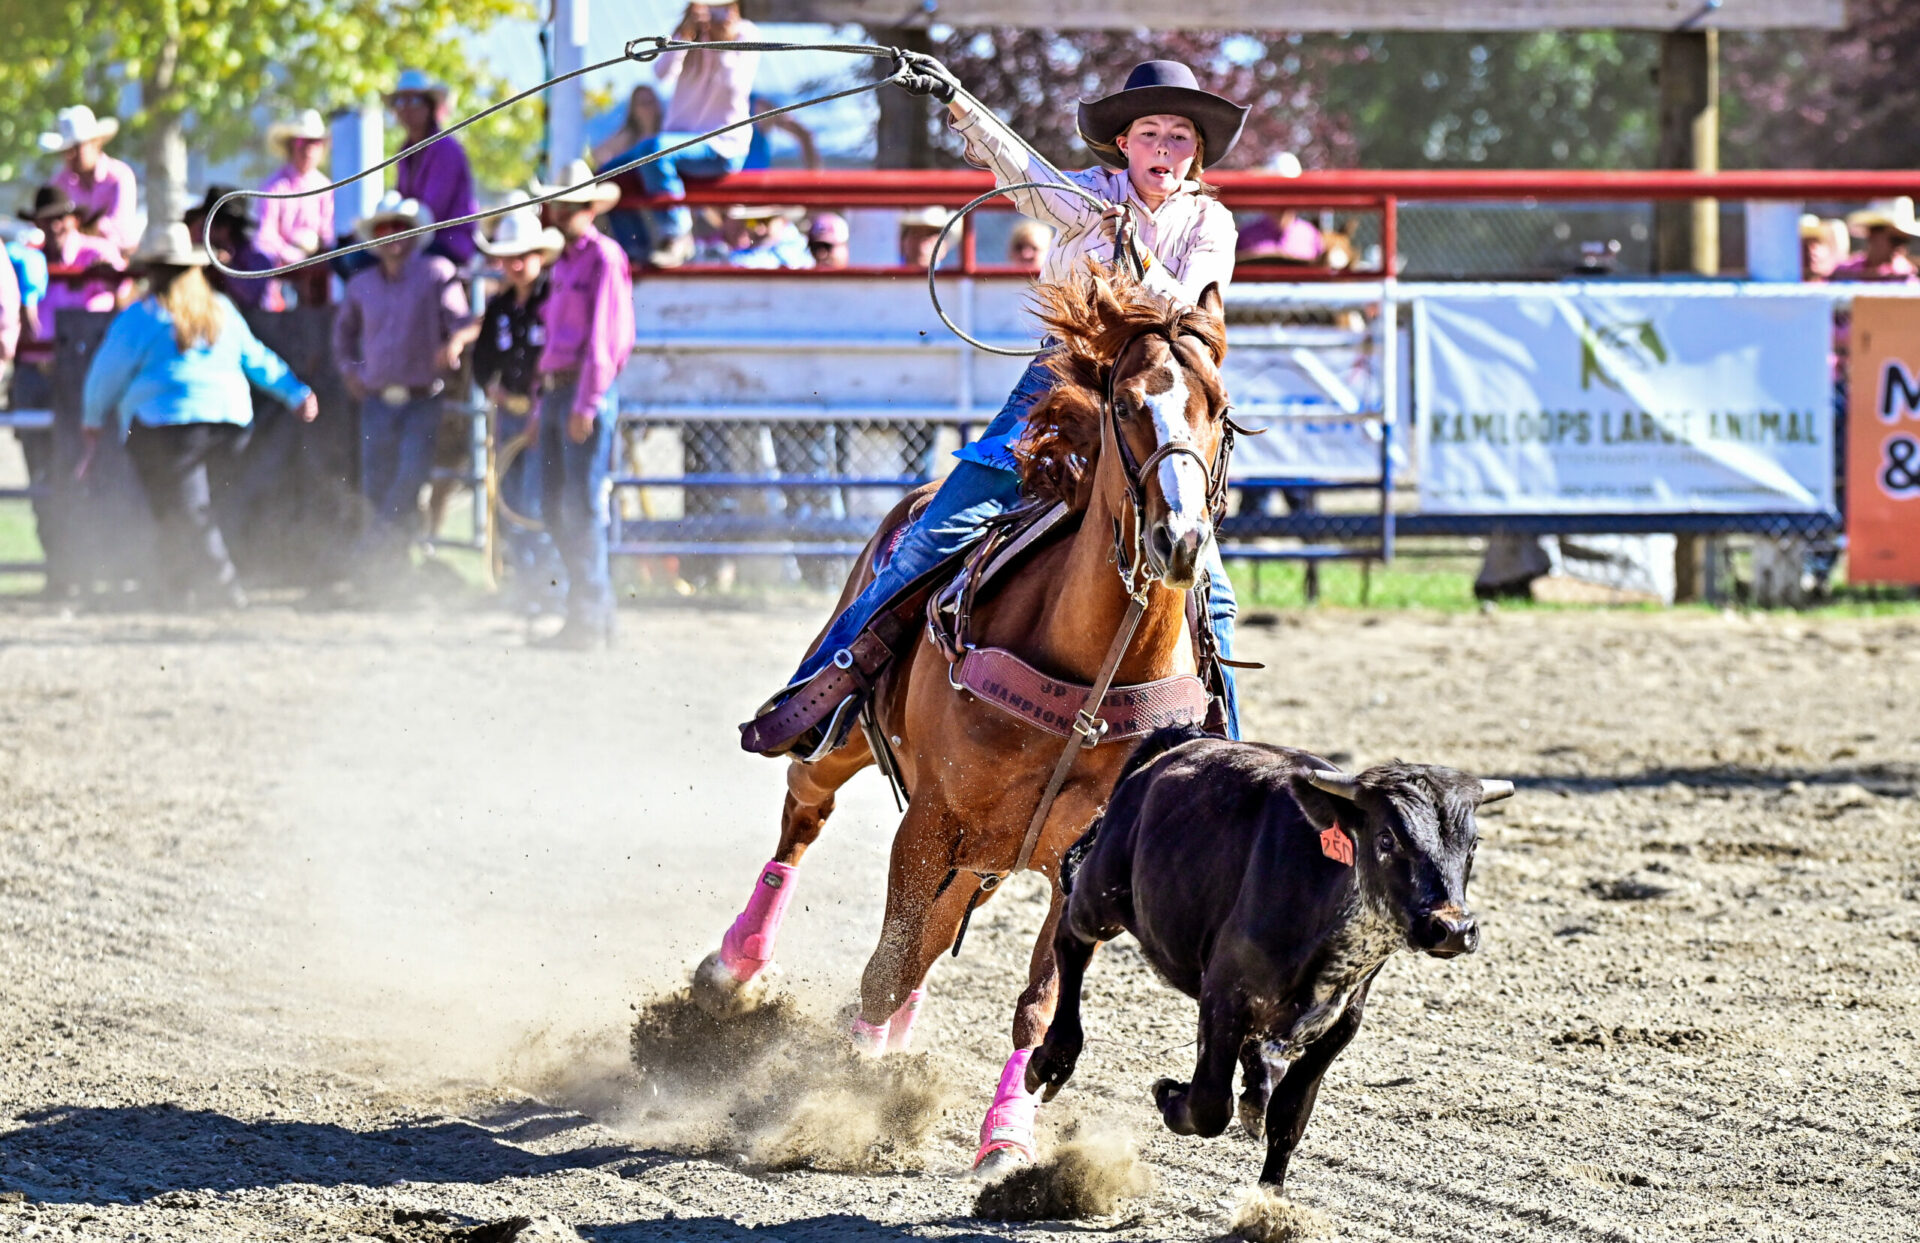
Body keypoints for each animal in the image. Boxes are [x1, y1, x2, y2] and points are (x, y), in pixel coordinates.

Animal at [698, 267, 1236, 1175]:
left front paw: (1007, 1136)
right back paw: (732, 968)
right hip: (850, 742)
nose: (1181, 539)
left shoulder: (1074, 860)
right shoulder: (929, 819)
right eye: (1129, 404)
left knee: (931, 929)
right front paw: (841, 1092)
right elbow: (885, 964)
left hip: (984, 849)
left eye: (1219, 407)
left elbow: (1033, 1001)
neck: (1091, 682)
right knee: (806, 811)